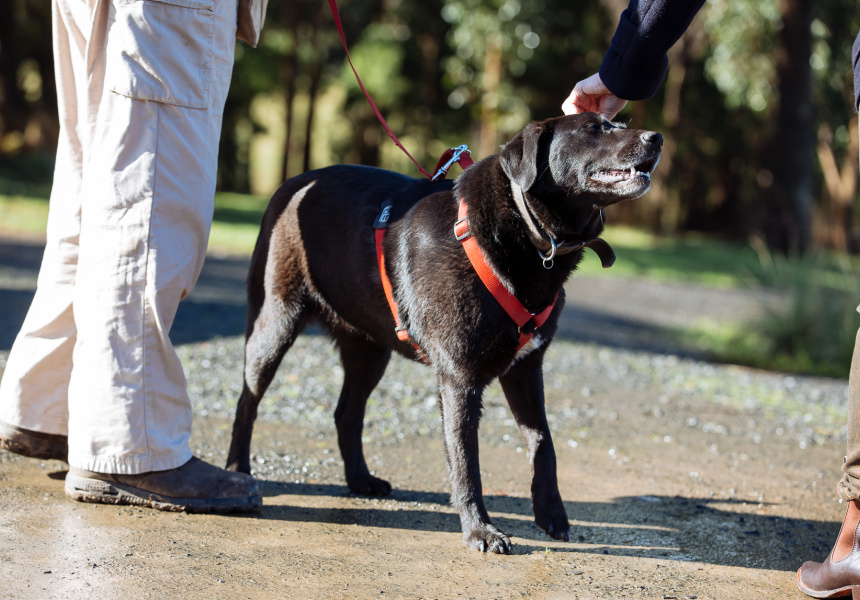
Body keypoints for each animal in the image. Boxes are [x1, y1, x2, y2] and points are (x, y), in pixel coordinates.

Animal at [225, 112, 660, 552]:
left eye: (616, 121)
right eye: (594, 128)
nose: (656, 138)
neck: (524, 227)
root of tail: (292, 183)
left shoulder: (525, 369)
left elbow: (543, 443)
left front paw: (551, 513)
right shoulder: (458, 379)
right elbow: (466, 460)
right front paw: (479, 530)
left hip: (370, 350)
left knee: (346, 412)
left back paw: (360, 480)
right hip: (274, 325)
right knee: (247, 402)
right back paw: (238, 472)